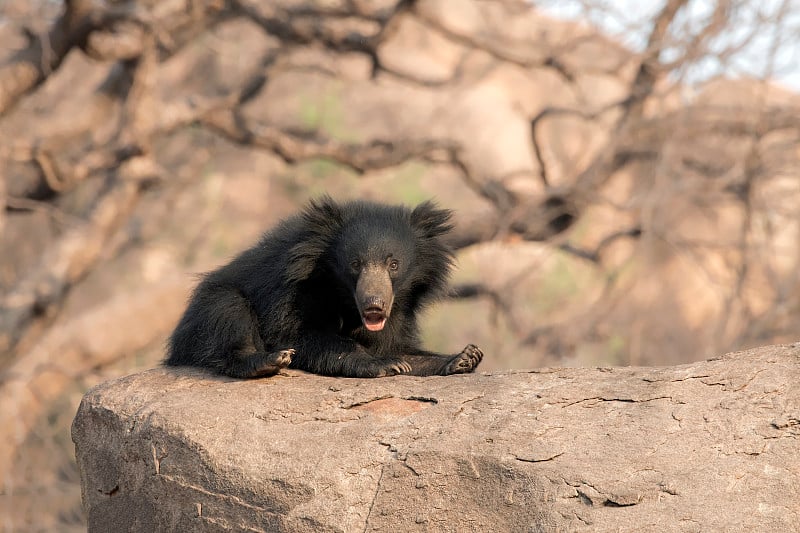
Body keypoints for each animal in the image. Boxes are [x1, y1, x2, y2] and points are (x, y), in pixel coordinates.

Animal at [164, 196, 482, 378]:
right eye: (355, 264)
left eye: (393, 264)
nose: (374, 304)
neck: (343, 297)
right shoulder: (291, 292)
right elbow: (296, 335)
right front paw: (380, 364)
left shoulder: (399, 311)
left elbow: (397, 347)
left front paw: (464, 357)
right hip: (205, 313)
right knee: (228, 312)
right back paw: (267, 361)